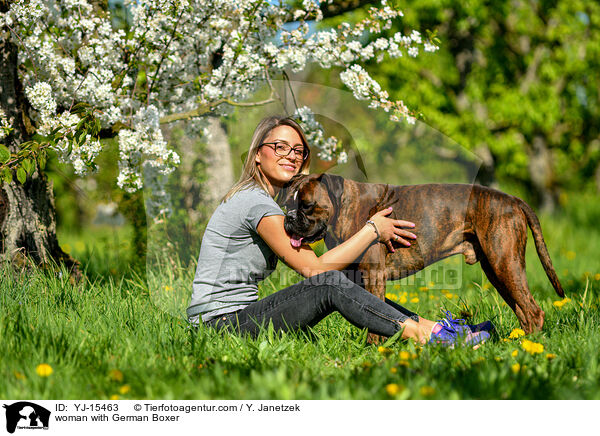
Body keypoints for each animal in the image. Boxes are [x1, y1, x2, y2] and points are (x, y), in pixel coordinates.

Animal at [278, 171, 564, 338]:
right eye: (287, 204)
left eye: (307, 206)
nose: (288, 218)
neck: (344, 207)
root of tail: (513, 199)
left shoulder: (373, 276)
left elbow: (373, 320)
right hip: (498, 270)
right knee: (522, 310)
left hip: (504, 263)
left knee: (532, 311)